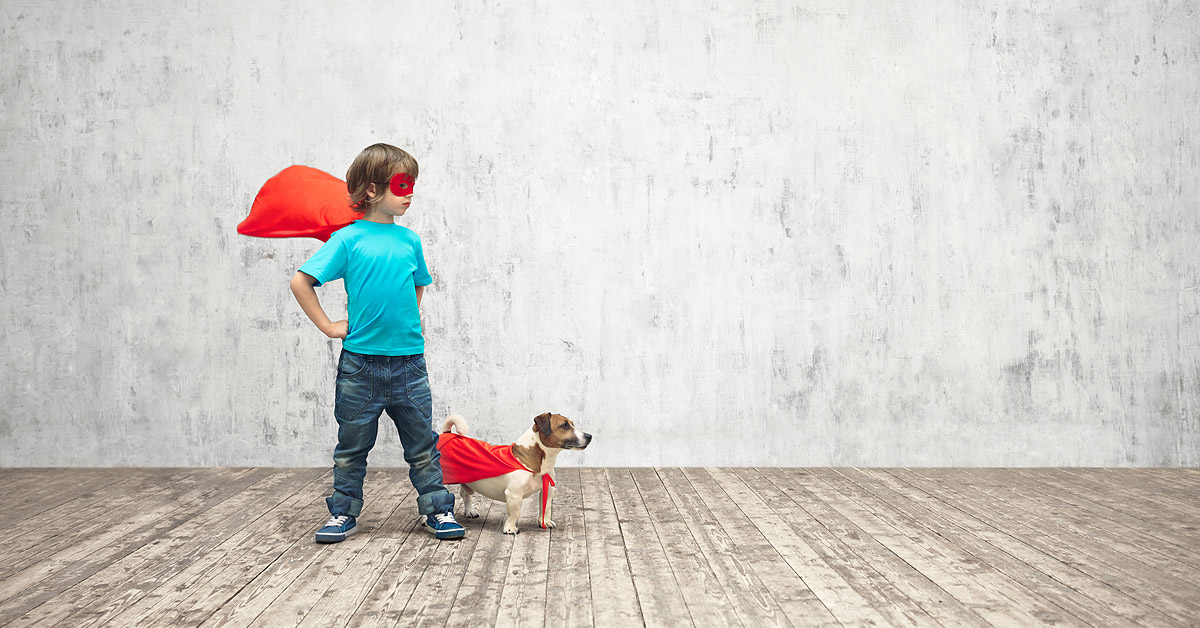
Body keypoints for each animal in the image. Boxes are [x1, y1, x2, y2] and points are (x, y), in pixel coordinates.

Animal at [439, 413, 592, 535]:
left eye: (572, 424)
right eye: (565, 425)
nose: (589, 436)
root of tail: (446, 433)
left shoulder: (548, 489)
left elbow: (546, 507)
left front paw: (545, 521)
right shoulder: (514, 494)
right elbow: (515, 513)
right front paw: (510, 528)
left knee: (465, 494)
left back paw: (470, 511)